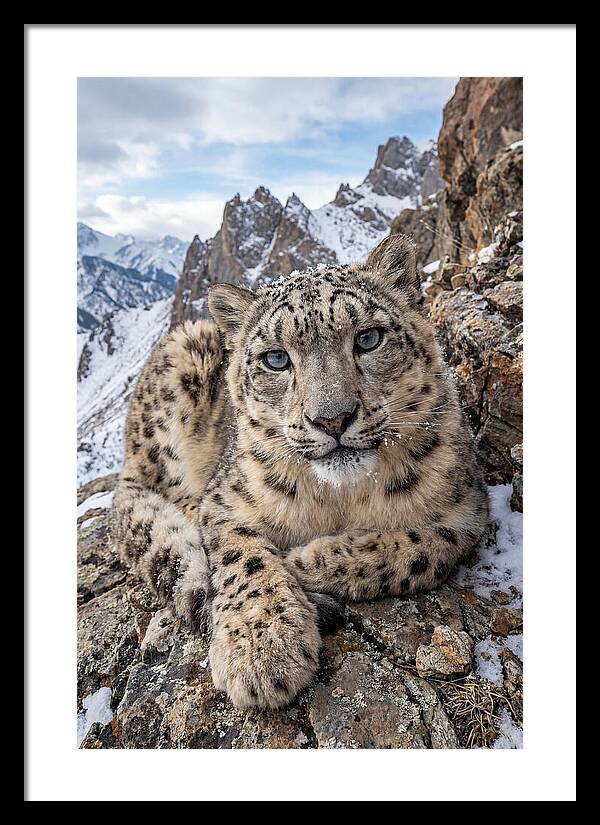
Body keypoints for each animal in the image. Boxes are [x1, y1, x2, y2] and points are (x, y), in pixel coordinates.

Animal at [112, 234, 489, 709]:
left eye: (368, 338)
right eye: (276, 359)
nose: (332, 419)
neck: (340, 498)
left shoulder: (467, 512)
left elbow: (419, 549)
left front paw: (306, 561)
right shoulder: (226, 501)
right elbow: (243, 557)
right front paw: (262, 648)